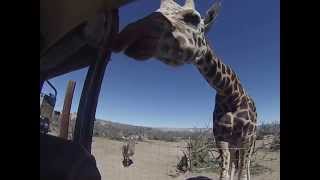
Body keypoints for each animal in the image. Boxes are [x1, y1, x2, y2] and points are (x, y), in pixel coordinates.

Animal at [111, 0, 256, 179]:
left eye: (194, 18)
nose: (128, 34)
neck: (230, 94)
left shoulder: (246, 138)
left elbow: (242, 172)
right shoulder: (221, 138)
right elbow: (224, 172)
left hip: (250, 142)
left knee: (246, 166)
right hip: (235, 144)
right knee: (235, 164)